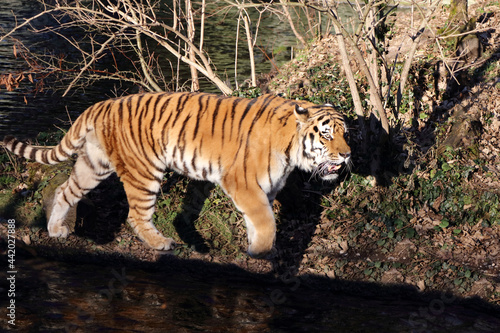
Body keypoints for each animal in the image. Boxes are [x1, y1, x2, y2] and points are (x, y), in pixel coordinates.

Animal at [3, 92, 350, 258]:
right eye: (327, 135)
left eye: (345, 133)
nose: (347, 154)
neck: (290, 149)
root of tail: (101, 104)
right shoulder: (242, 183)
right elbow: (265, 221)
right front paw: (263, 253)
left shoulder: (266, 189)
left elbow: (258, 221)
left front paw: (259, 249)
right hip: (144, 172)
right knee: (136, 215)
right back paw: (161, 244)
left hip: (93, 165)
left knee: (64, 191)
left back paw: (55, 230)